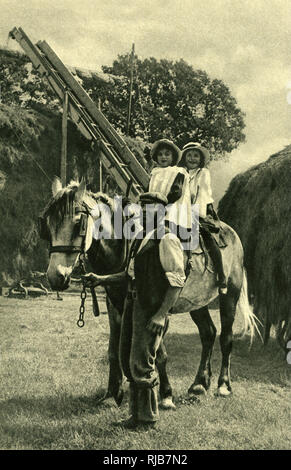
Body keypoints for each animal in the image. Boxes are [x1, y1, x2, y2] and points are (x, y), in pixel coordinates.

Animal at [41, 178, 260, 406]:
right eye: (46, 225)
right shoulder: (115, 307)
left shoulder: (158, 310)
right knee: (208, 333)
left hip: (230, 296)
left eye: (78, 224)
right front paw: (112, 394)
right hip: (196, 302)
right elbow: (114, 351)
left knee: (226, 338)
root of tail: (231, 233)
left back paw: (223, 385)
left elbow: (159, 355)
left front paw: (165, 394)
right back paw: (199, 384)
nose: (56, 277)